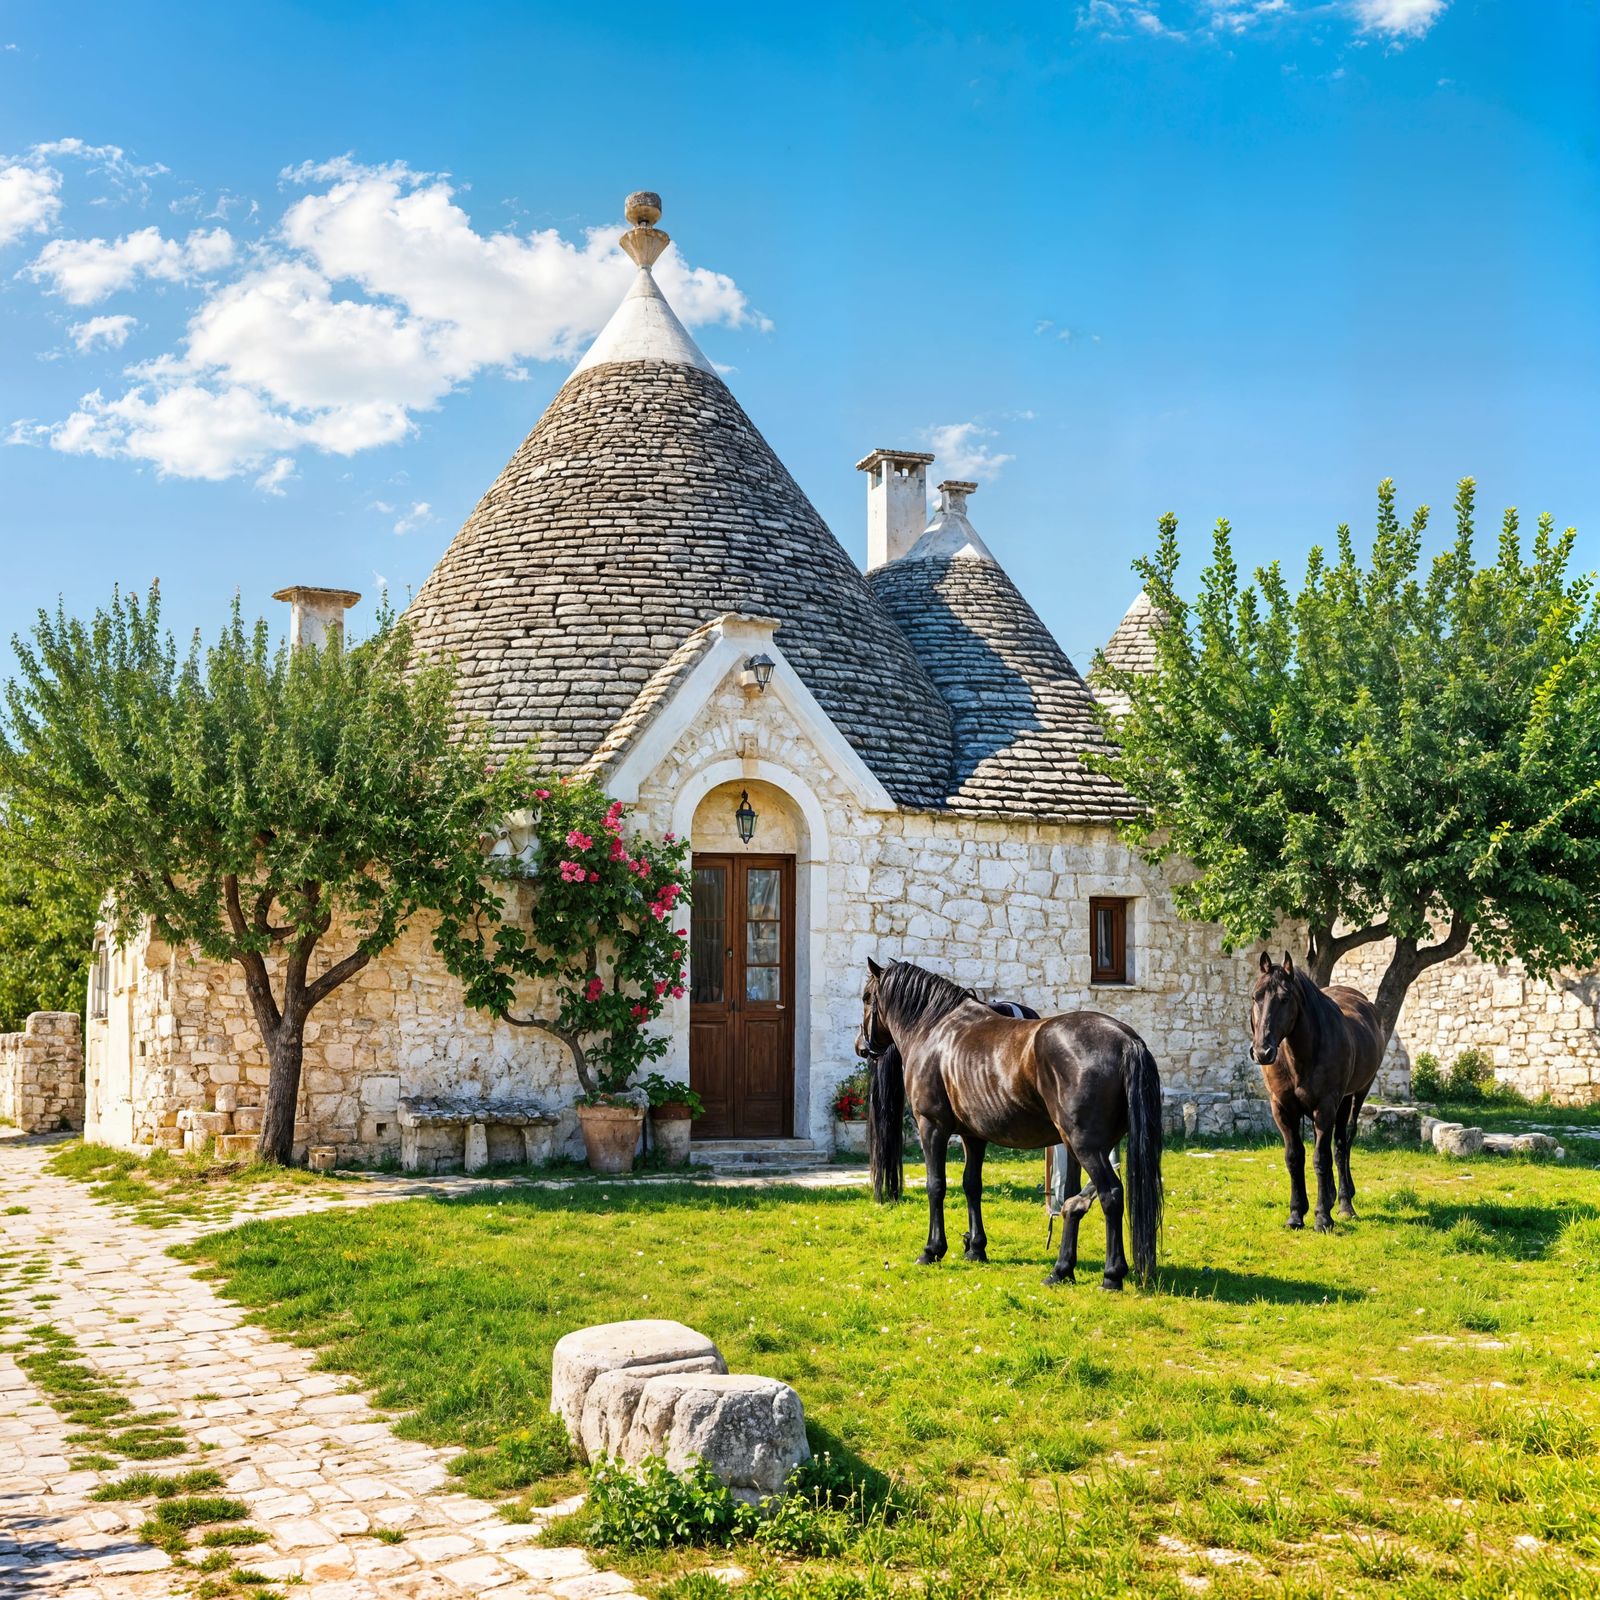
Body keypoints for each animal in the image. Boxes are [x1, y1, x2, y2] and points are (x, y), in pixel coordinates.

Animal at [858, 958, 1164, 1290]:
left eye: (866, 998)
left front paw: (932, 1250)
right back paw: (1061, 1269)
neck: (934, 1029)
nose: (861, 1047)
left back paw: (1111, 1274)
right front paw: (976, 1248)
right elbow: (972, 1185)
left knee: (1111, 1195)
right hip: (1086, 1144)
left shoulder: (932, 1126)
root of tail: (1127, 1041)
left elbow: (936, 1185)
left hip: (1087, 1146)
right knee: (1076, 1201)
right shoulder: (973, 1136)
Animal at [1248, 951, 1385, 1232]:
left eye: (1285, 998)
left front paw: (1323, 1217)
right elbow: (1294, 1157)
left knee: (1343, 1143)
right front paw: (1296, 1214)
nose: (1262, 1052)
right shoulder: (1282, 1108)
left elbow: (1321, 1158)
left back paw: (1344, 1203)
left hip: (1355, 1095)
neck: (1300, 1056)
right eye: (1255, 996)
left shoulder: (1325, 1107)